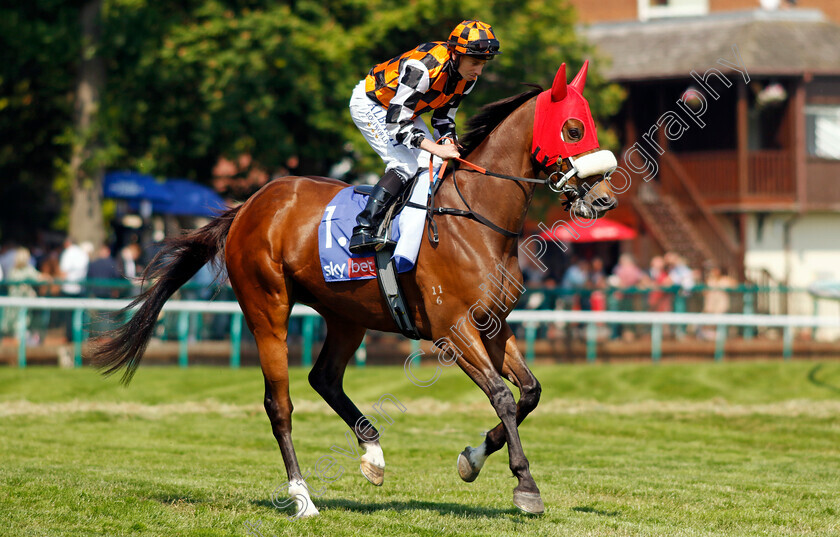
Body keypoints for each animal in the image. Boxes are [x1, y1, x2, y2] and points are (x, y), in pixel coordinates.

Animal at [95, 60, 616, 516]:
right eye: (573, 129)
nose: (604, 199)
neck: (476, 220)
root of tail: (248, 205)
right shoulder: (452, 330)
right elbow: (504, 397)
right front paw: (525, 485)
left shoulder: (493, 325)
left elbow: (530, 392)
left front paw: (472, 458)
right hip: (267, 309)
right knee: (279, 403)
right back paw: (303, 497)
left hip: (346, 316)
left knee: (324, 377)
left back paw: (373, 455)